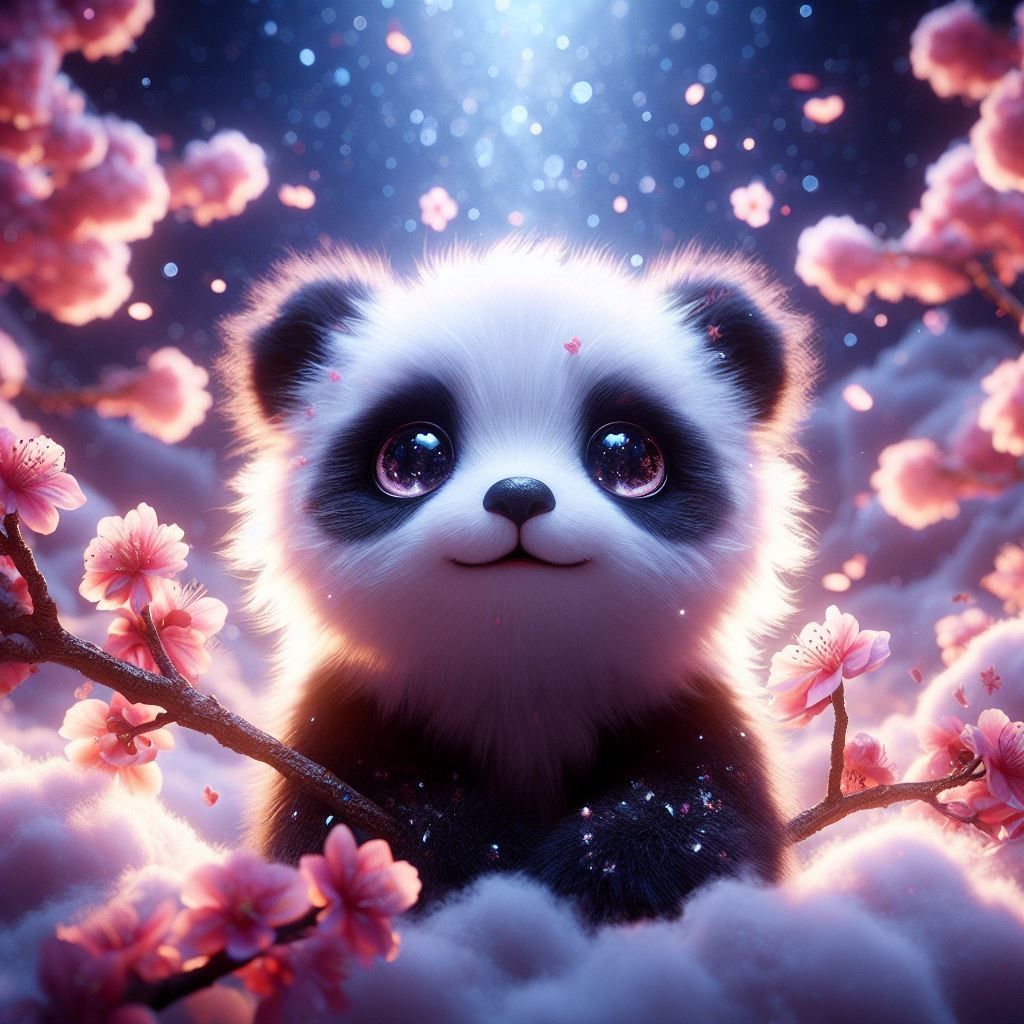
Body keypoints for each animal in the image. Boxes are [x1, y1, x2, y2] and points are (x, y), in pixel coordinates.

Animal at [221, 239, 815, 925]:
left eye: (627, 456)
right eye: (413, 456)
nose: (520, 494)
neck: (521, 672)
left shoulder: (689, 706)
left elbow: (707, 823)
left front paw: (608, 871)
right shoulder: (342, 719)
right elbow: (339, 828)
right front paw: (478, 851)